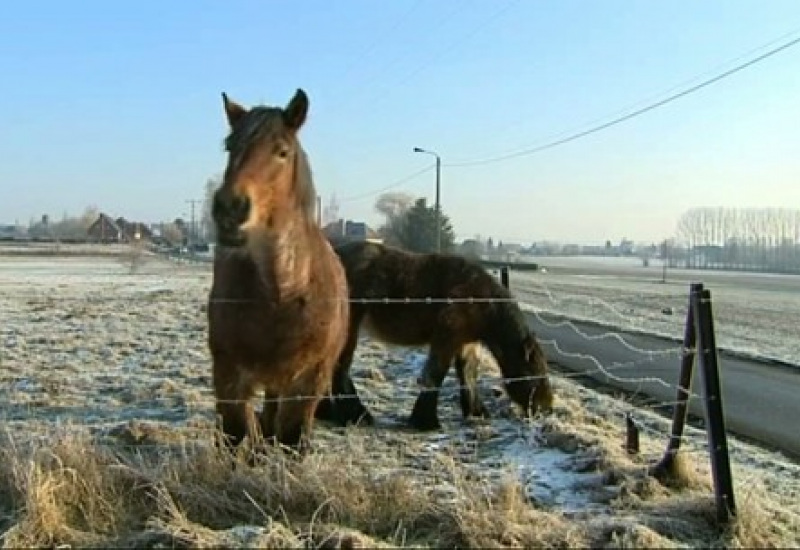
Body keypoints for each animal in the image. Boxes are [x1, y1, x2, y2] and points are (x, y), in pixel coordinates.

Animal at [208, 88, 348, 454]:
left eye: (282, 152)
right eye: (229, 145)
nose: (229, 208)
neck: (280, 292)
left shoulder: (307, 381)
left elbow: (292, 439)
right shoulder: (229, 377)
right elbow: (236, 435)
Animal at [316, 244, 552, 434]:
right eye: (535, 373)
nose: (547, 409)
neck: (478, 298)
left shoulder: (465, 342)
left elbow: (468, 374)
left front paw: (476, 412)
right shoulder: (447, 338)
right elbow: (435, 375)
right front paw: (426, 421)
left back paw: (327, 412)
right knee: (340, 368)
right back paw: (356, 415)